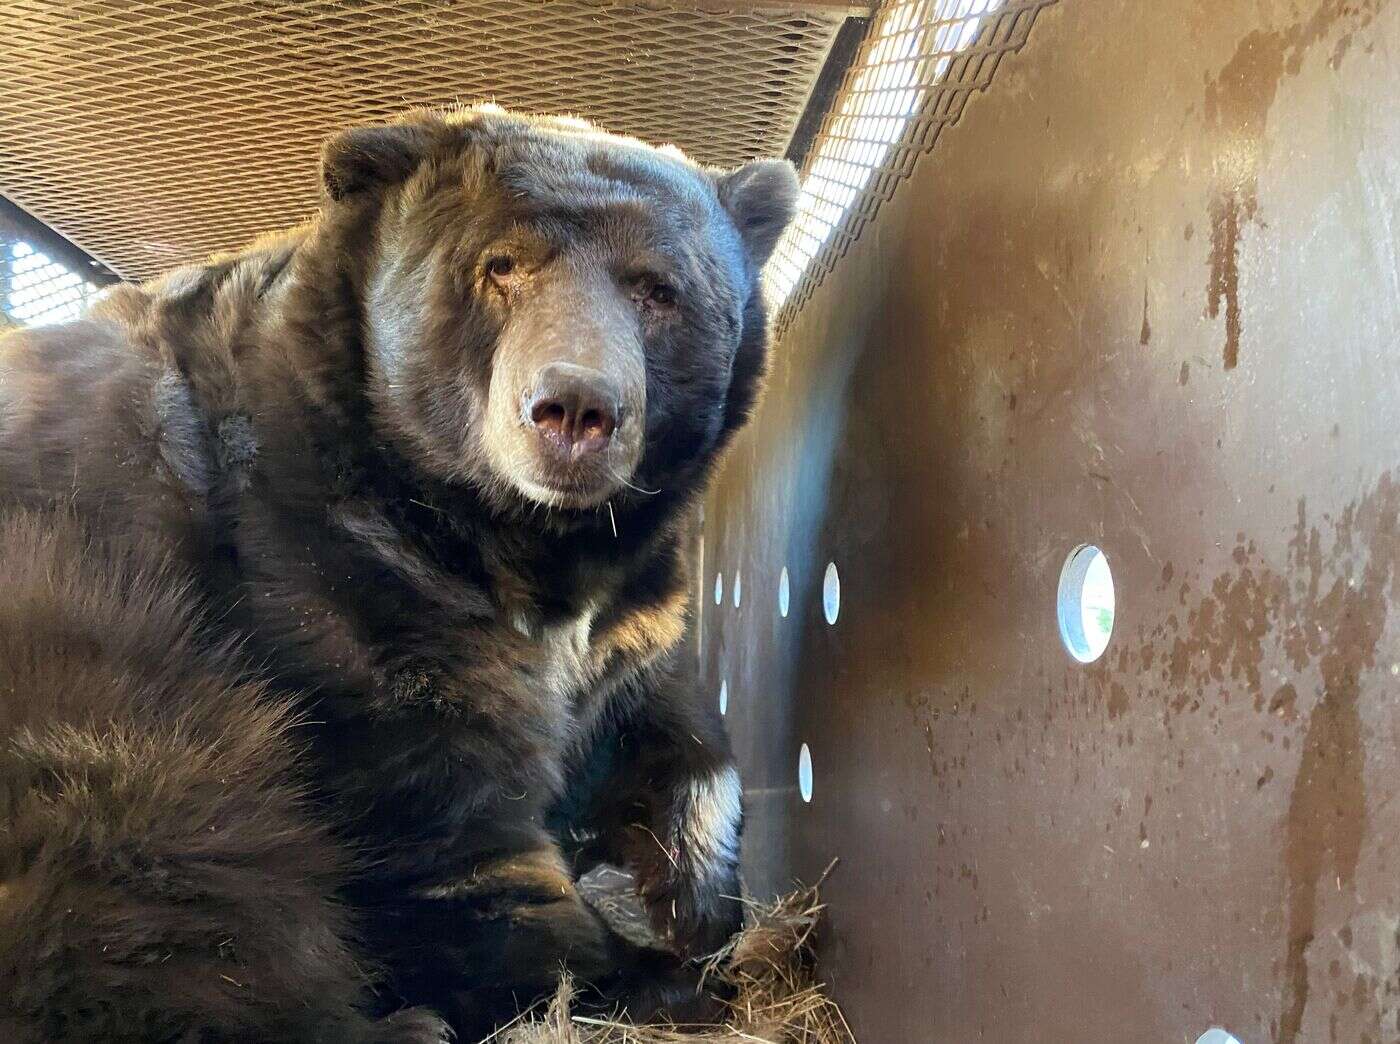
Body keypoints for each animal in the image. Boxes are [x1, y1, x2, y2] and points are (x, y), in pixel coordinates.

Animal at [0, 101, 800, 1035]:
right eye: (501, 265)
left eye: (657, 288)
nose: (575, 407)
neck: (523, 544)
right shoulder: (339, 584)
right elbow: (451, 849)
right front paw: (651, 970)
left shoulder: (630, 615)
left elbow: (670, 725)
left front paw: (696, 900)